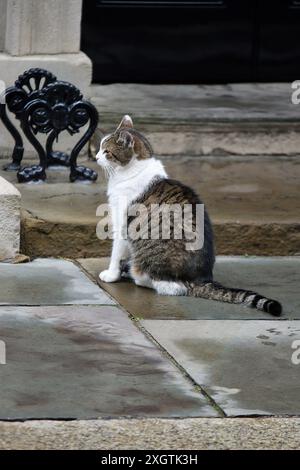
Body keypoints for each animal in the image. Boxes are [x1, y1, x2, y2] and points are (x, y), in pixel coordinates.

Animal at [95, 114, 282, 316]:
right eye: (100, 148)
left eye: (106, 151)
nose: (96, 157)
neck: (131, 171)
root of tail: (200, 278)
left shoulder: (123, 223)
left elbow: (116, 253)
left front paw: (112, 274)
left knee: (171, 286)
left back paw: (135, 273)